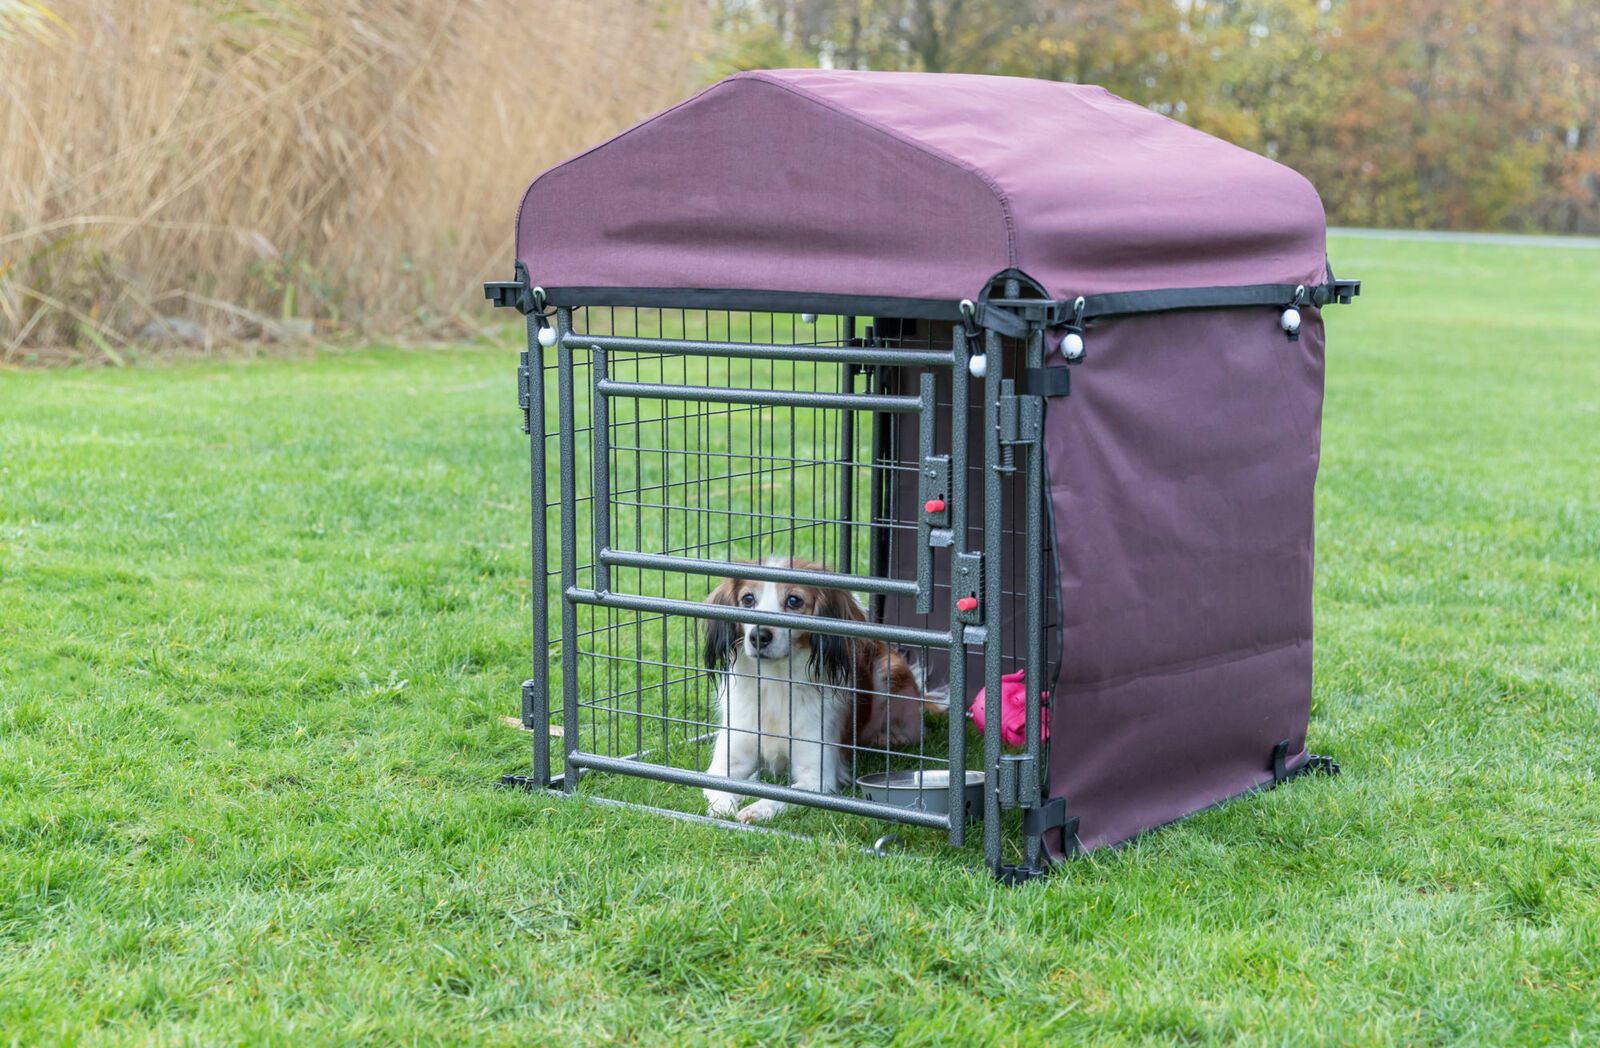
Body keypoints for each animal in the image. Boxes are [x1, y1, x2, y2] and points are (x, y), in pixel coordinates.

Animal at [700, 557, 942, 823]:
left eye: (794, 600)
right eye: (748, 599)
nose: (758, 636)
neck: (776, 682)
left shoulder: (816, 779)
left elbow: (782, 795)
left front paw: (756, 809)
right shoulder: (725, 764)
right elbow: (720, 789)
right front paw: (725, 807)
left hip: (889, 670)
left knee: (916, 730)